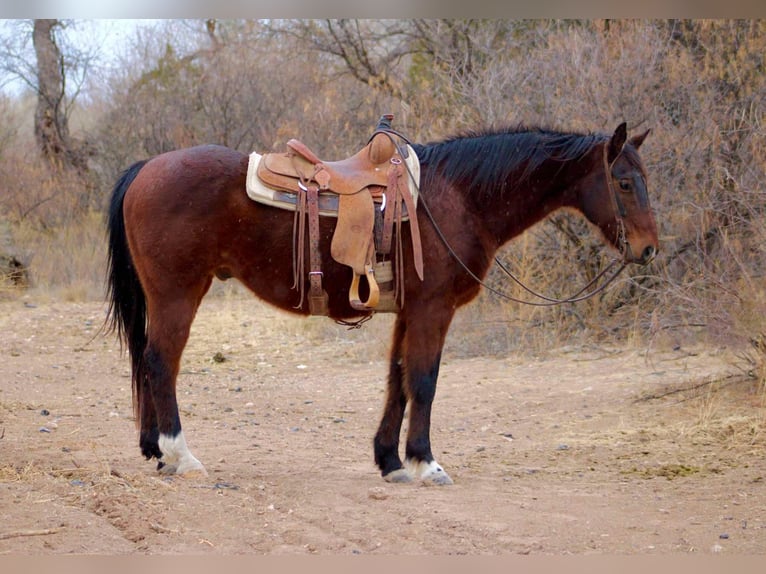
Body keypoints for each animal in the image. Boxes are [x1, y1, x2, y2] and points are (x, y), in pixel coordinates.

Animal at [106, 121, 660, 486]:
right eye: (624, 182)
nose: (648, 249)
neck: (457, 197)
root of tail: (145, 169)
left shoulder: (408, 313)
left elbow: (397, 380)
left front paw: (390, 461)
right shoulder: (434, 309)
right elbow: (425, 381)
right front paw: (426, 462)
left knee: (149, 361)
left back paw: (156, 451)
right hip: (178, 294)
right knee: (161, 362)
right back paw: (181, 455)